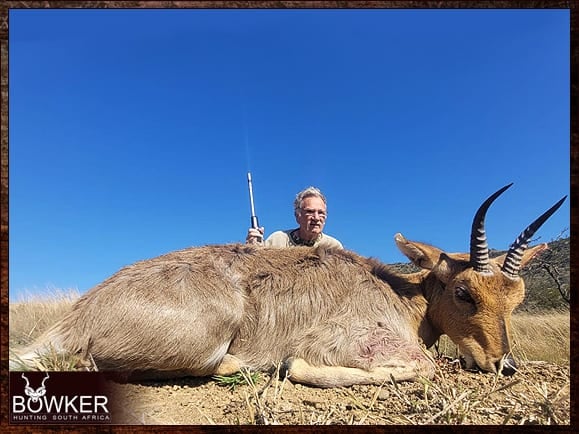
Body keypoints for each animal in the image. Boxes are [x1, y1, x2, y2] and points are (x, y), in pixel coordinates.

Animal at [9, 185, 568, 388]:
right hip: (207, 337)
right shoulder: (347, 341)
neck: (401, 295)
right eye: (463, 292)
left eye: (515, 298)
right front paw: (291, 366)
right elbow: (422, 367)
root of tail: (78, 314)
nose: (503, 364)